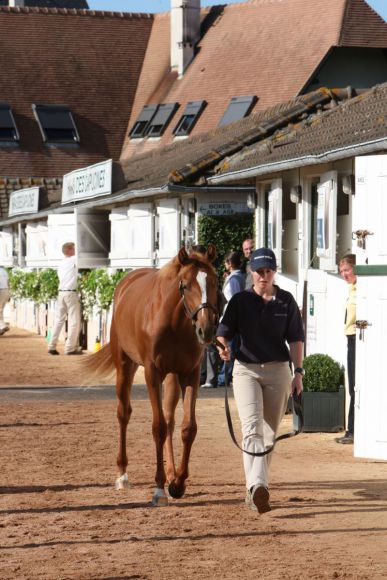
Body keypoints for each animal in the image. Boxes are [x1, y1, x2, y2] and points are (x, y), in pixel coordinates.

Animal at [85, 247, 218, 506]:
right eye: (185, 285)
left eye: (214, 282)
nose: (206, 330)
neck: (174, 324)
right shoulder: (152, 373)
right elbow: (158, 428)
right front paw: (159, 489)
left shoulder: (190, 374)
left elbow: (188, 428)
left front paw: (177, 483)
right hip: (125, 366)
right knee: (124, 414)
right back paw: (122, 475)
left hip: (173, 378)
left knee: (171, 419)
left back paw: (171, 473)